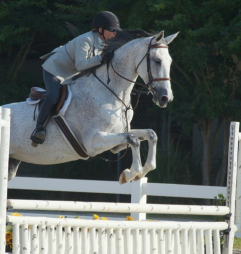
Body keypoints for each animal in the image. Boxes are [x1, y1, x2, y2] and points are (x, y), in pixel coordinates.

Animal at [2, 29, 178, 185]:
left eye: (169, 61)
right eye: (157, 61)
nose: (165, 98)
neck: (111, 92)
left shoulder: (117, 138)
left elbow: (151, 135)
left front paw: (138, 174)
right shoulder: (93, 141)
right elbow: (134, 140)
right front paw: (128, 175)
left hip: (11, 163)